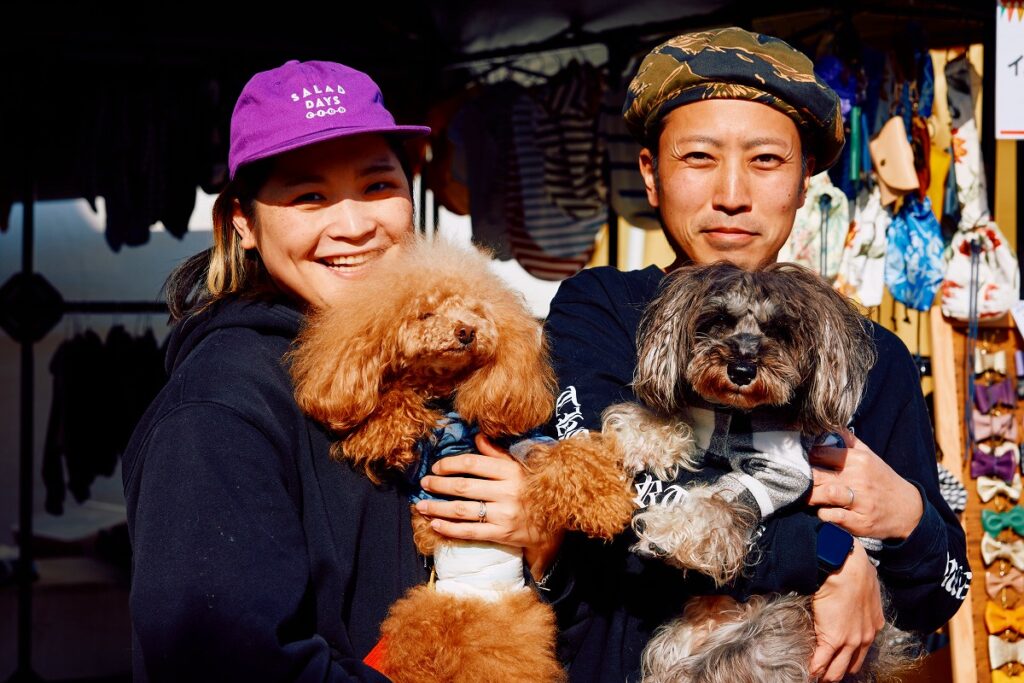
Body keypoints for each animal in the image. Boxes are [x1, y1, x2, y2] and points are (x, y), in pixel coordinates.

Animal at [289, 235, 629, 683]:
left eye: (476, 311)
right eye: (425, 313)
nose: (466, 331)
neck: (446, 397)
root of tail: (475, 604)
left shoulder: (522, 439)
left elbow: (569, 457)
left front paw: (606, 505)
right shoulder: (406, 451)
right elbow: (386, 409)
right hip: (425, 619)